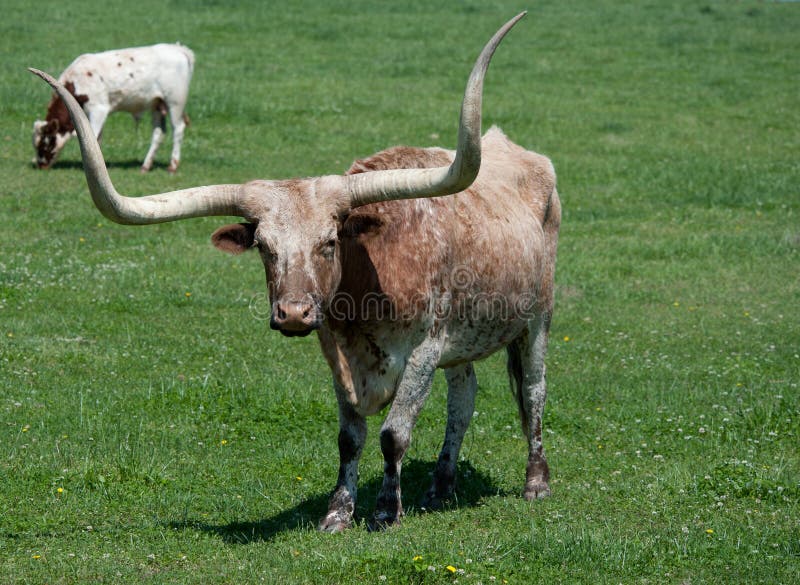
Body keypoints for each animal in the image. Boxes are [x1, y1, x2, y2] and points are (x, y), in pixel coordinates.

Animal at [31, 43, 195, 172]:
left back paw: (172, 166)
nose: (41, 166)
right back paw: (145, 166)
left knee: (178, 128)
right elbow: (97, 138)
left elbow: (93, 135)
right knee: (158, 132)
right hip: (157, 104)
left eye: (45, 142)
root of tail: (178, 48)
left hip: (175, 102)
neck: (76, 82)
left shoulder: (98, 108)